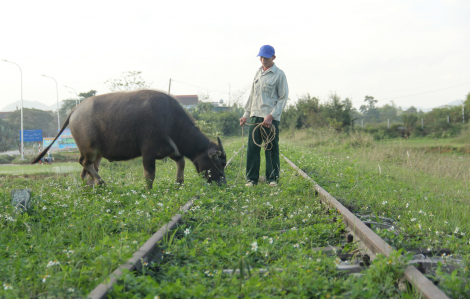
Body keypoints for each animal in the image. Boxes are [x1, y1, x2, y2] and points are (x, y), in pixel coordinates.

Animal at [32, 89, 227, 188]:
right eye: (219, 163)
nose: (223, 182)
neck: (169, 119)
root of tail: (75, 110)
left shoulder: (172, 149)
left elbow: (182, 162)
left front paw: (179, 182)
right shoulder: (148, 151)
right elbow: (150, 175)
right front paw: (149, 191)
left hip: (98, 153)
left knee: (86, 171)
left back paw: (92, 188)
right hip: (89, 149)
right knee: (84, 163)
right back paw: (100, 182)